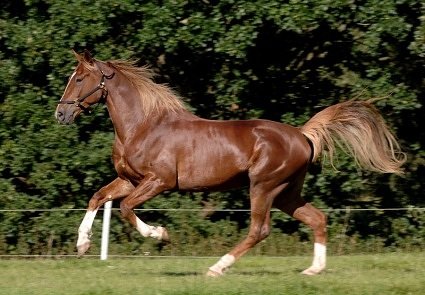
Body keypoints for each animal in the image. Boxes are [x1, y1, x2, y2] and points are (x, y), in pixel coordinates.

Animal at [54, 50, 402, 278]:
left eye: (80, 78)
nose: (61, 113)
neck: (144, 126)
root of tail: (302, 135)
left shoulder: (159, 182)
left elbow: (125, 208)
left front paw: (161, 234)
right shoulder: (130, 180)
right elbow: (97, 197)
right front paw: (82, 245)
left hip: (263, 186)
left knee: (259, 230)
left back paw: (216, 267)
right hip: (287, 192)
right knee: (317, 218)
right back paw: (313, 270)